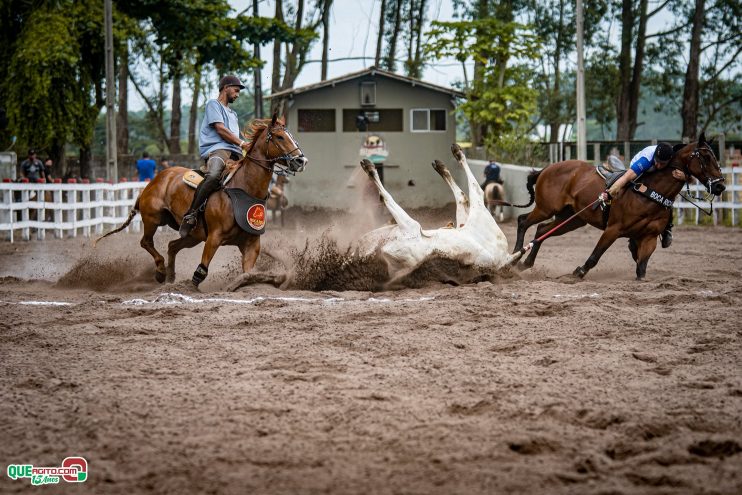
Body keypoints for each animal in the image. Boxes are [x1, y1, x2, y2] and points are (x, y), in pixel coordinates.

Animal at [96, 114, 308, 286]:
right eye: (280, 137)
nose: (301, 160)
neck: (244, 189)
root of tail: (154, 181)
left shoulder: (251, 244)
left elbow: (248, 274)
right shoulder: (214, 238)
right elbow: (201, 272)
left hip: (193, 235)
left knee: (172, 246)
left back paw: (170, 277)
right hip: (153, 218)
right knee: (146, 242)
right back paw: (161, 271)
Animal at [358, 143, 524, 284]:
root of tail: (504, 258)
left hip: (472, 215)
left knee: (472, 190)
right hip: (466, 222)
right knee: (463, 197)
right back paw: (443, 164)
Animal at [512, 134, 728, 280]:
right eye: (705, 157)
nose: (720, 186)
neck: (649, 192)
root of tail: (546, 168)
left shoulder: (649, 238)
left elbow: (641, 268)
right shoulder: (613, 229)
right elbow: (595, 256)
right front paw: (579, 272)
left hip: (572, 219)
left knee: (542, 230)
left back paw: (525, 263)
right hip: (547, 208)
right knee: (523, 221)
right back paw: (513, 259)